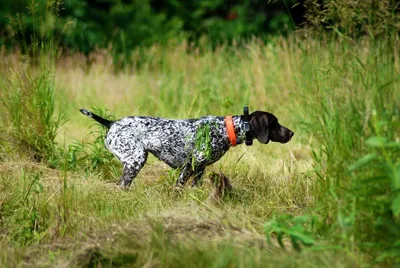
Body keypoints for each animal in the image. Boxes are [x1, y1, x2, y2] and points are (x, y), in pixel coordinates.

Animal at [80, 108, 294, 188]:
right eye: (275, 123)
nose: (291, 133)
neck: (226, 129)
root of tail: (112, 123)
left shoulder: (200, 168)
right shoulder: (192, 164)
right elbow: (179, 186)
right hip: (135, 159)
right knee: (122, 185)